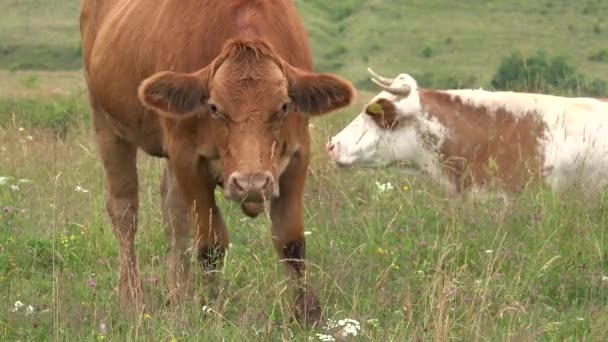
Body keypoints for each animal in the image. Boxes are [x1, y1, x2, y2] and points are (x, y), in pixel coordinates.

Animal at [81, 0, 356, 324]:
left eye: (284, 106)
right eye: (213, 107)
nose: (252, 183)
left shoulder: (299, 154)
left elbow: (291, 241)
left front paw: (307, 314)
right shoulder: (187, 157)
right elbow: (212, 244)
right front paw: (212, 310)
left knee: (174, 216)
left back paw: (180, 297)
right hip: (108, 125)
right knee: (125, 211)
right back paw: (132, 298)